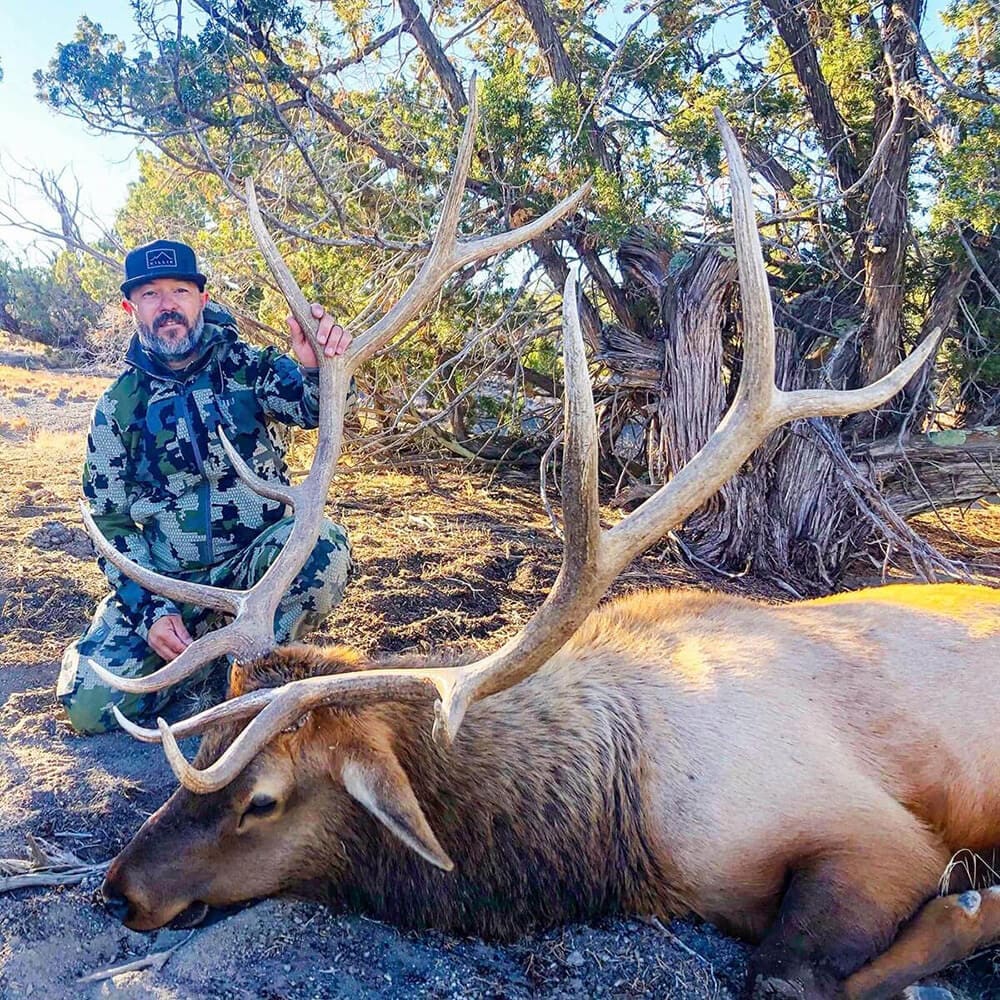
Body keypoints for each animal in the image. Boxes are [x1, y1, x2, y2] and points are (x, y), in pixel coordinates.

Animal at [80, 88, 1000, 1000]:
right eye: (201, 746)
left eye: (263, 800)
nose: (117, 891)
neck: (612, 828)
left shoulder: (873, 834)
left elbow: (794, 975)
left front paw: (964, 909)